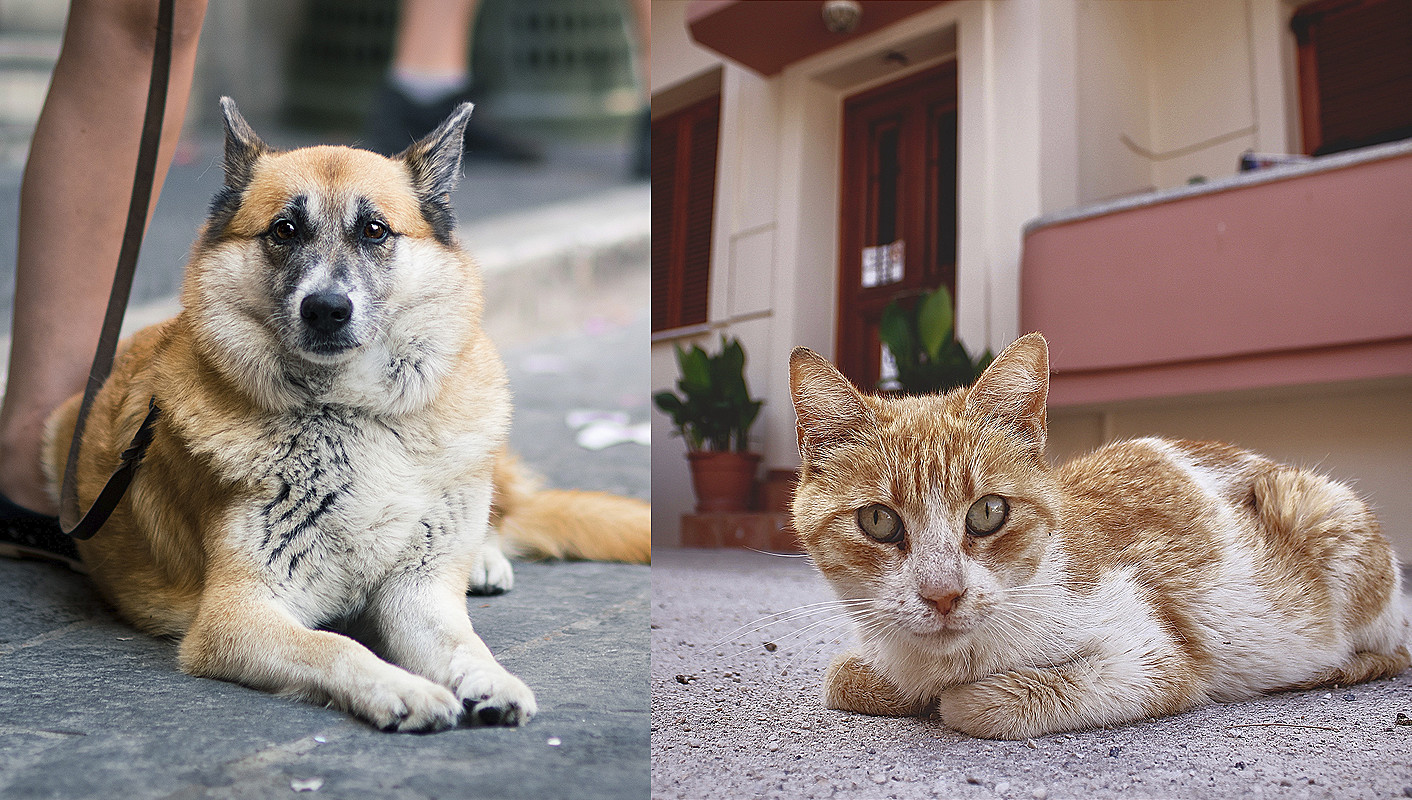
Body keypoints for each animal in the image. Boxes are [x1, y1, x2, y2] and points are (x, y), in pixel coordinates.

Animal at [44, 98, 649, 733]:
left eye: (375, 230)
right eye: (284, 230)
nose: (327, 309)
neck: (349, 412)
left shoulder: (416, 594)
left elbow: (463, 644)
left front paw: (491, 679)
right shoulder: (237, 617)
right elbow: (335, 646)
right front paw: (403, 690)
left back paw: (484, 558)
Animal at [790, 331, 1406, 739]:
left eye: (988, 512)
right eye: (879, 521)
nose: (943, 595)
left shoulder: (1152, 660)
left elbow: (979, 707)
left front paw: (953, 699)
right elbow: (844, 677)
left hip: (1319, 512)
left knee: (1392, 653)